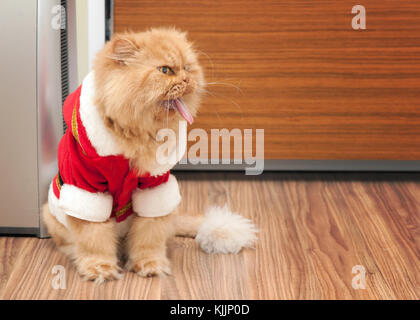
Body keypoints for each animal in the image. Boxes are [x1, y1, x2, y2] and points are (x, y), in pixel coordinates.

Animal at [43, 27, 260, 282]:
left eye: (187, 68)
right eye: (165, 70)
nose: (187, 80)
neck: (133, 137)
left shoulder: (154, 187)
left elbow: (148, 237)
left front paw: (149, 264)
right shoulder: (87, 187)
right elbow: (94, 239)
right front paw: (100, 268)